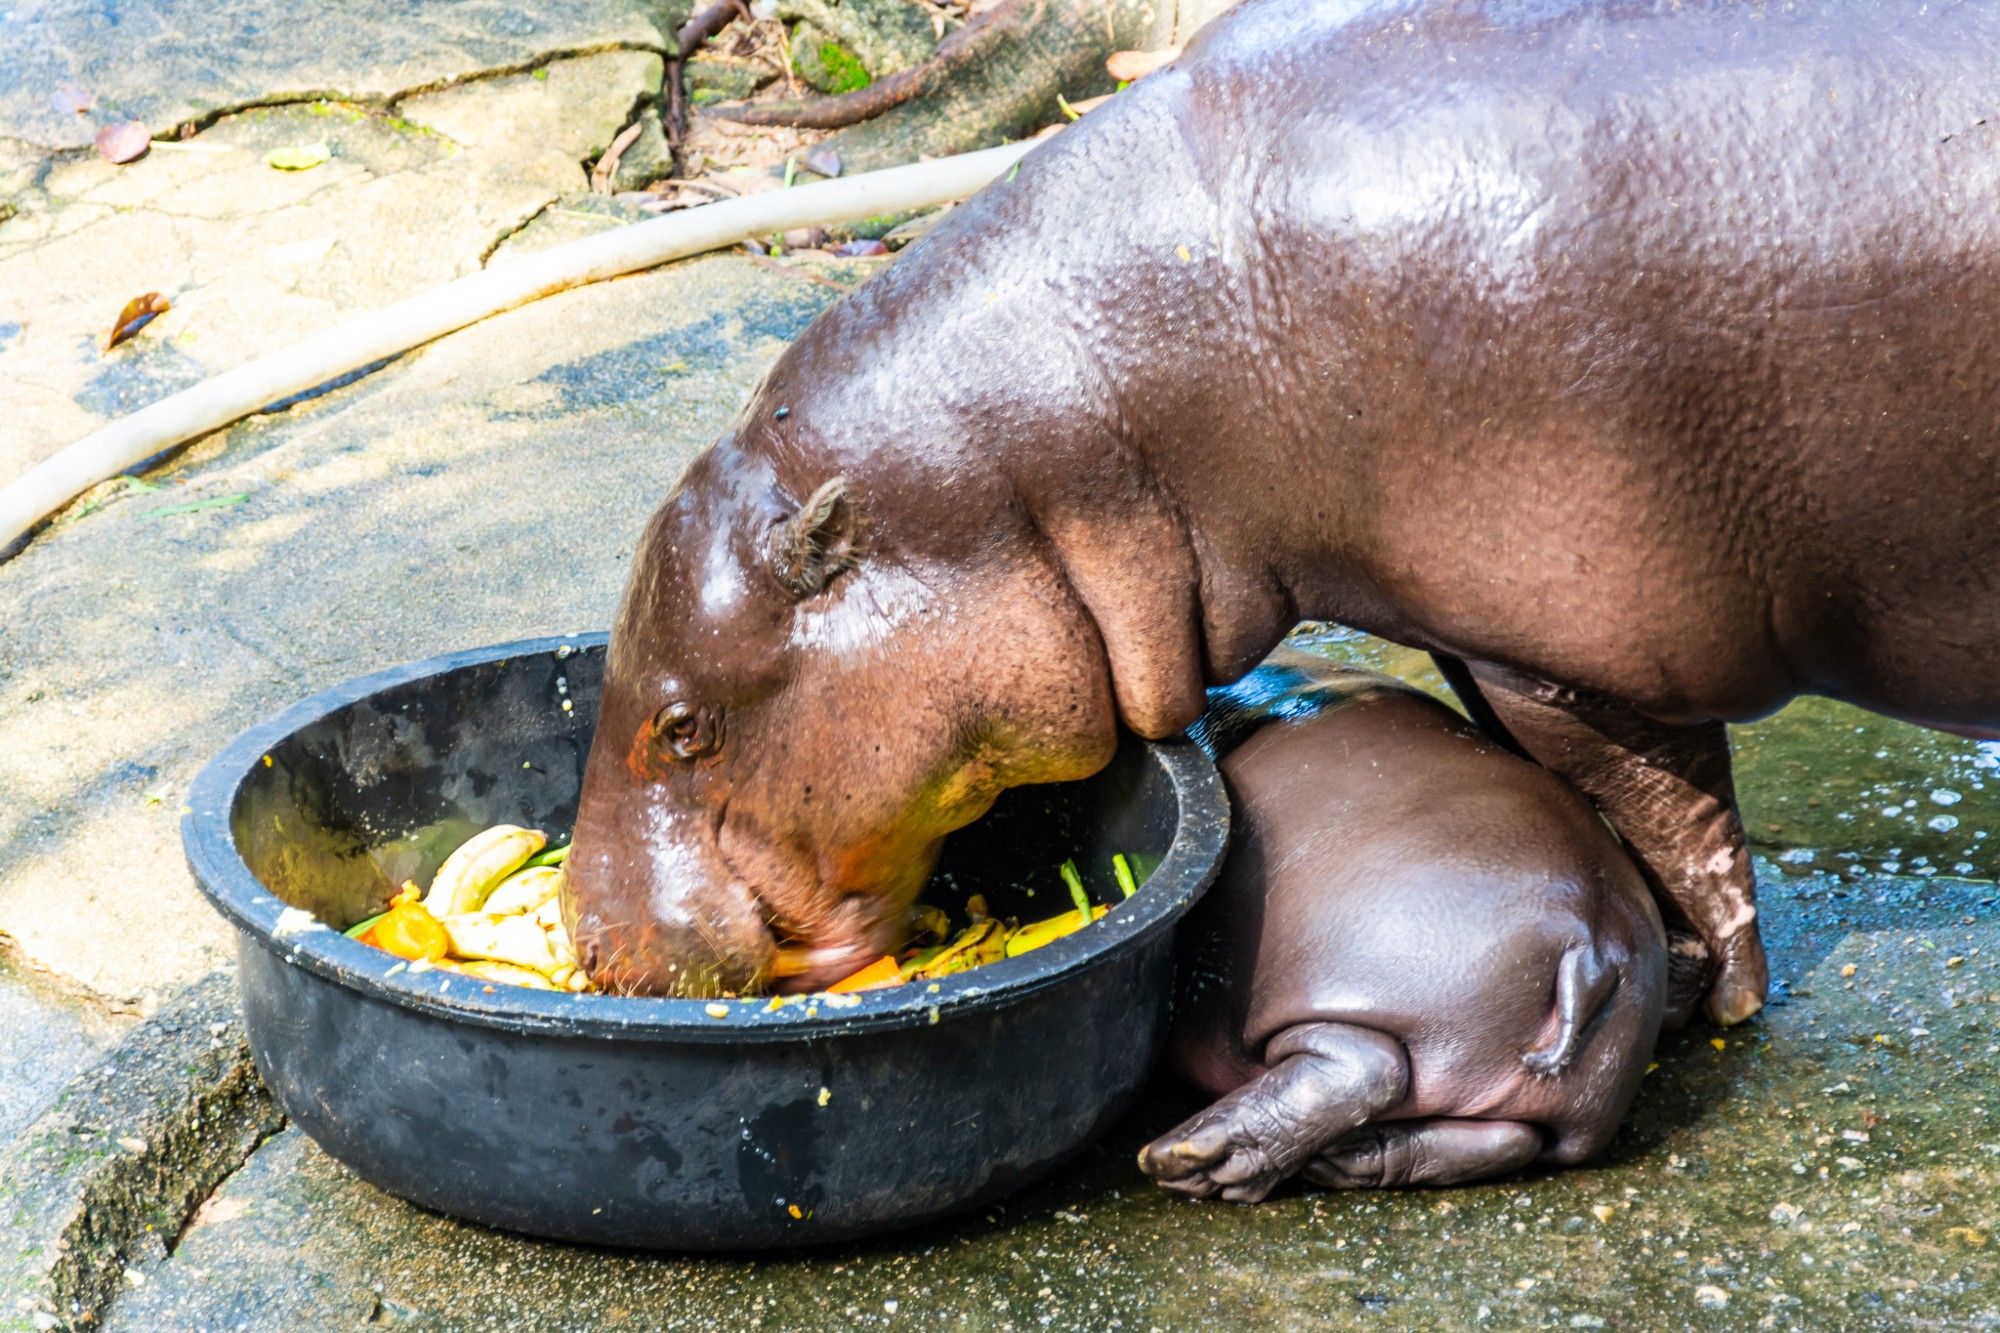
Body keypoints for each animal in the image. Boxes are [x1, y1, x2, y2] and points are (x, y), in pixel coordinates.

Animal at [560, 0, 2000, 1016]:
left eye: (684, 728)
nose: (586, 936)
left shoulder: (1580, 656)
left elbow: (1676, 827)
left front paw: (1707, 995)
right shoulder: (1472, 634)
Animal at [1144, 648, 1672, 1200]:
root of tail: (1593, 947)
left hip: (1353, 986)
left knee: (1368, 1066)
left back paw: (1187, 1155)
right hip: (1563, 1100)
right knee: (1505, 1139)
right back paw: (1347, 1157)